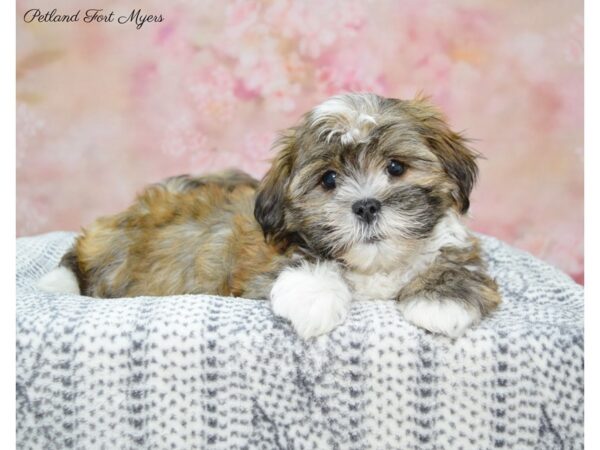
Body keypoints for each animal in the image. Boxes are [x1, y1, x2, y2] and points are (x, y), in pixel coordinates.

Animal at [38, 92, 502, 338]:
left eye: (395, 167)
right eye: (329, 179)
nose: (367, 205)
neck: (376, 267)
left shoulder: (453, 243)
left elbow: (455, 261)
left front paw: (441, 299)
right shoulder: (259, 267)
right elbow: (303, 267)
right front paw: (316, 298)